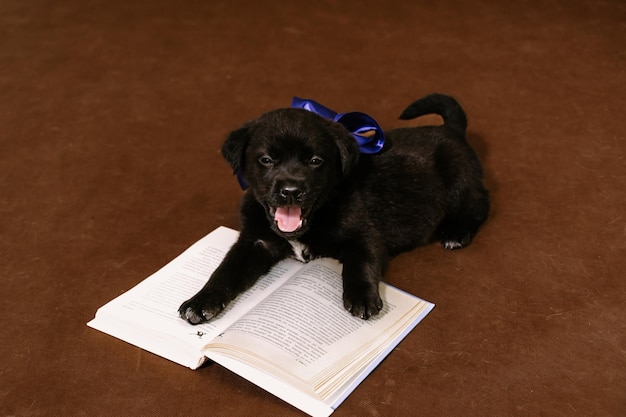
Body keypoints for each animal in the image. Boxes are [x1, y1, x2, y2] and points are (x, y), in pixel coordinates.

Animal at [178, 93, 490, 322]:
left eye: (315, 161)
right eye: (267, 160)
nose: (291, 191)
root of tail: (450, 129)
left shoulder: (365, 234)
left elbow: (360, 261)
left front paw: (362, 296)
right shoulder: (254, 241)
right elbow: (225, 269)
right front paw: (200, 300)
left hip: (460, 179)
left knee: (479, 204)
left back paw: (456, 233)